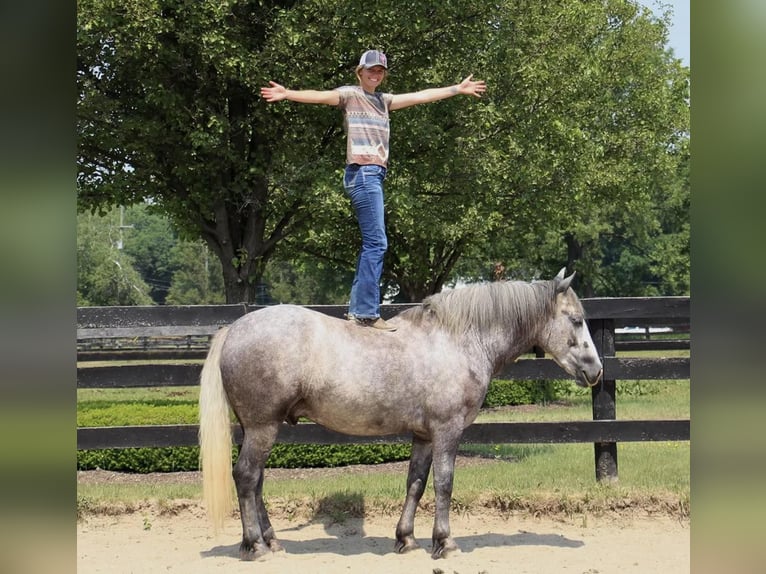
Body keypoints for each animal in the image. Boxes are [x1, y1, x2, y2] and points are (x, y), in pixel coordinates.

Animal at [200, 270, 608, 564]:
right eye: (575, 320)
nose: (596, 370)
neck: (457, 340)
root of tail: (234, 329)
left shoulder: (424, 436)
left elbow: (416, 483)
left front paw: (407, 538)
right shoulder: (447, 431)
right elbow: (444, 483)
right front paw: (445, 542)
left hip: (256, 429)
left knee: (256, 482)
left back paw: (270, 541)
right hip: (262, 427)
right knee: (246, 476)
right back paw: (255, 546)